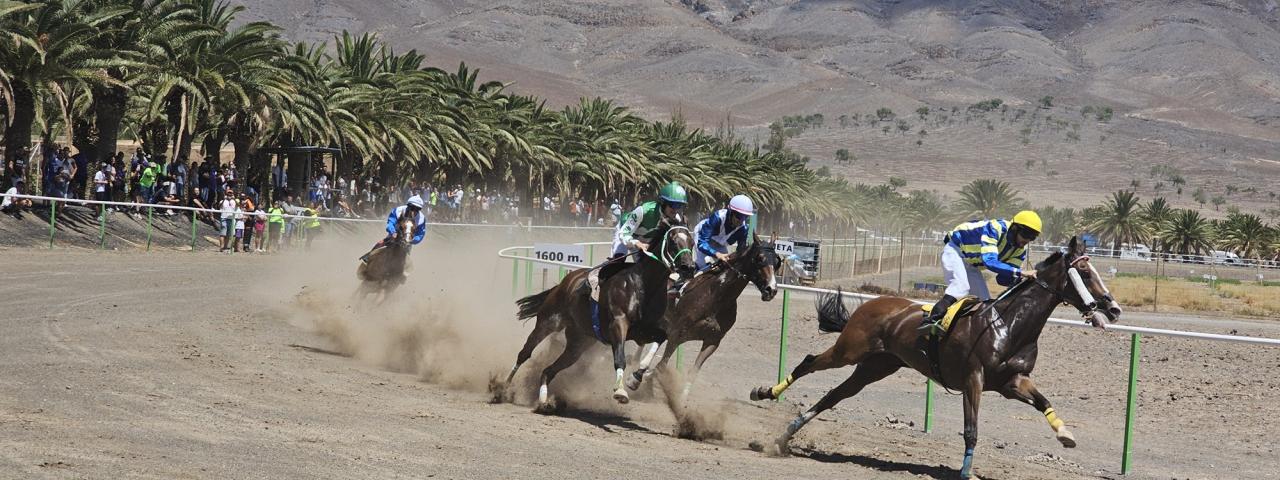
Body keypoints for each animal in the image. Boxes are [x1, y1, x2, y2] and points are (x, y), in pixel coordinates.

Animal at [503, 219, 698, 411]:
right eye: (673, 241)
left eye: (692, 242)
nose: (688, 267)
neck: (642, 286)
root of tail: (564, 283)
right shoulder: (618, 324)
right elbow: (620, 358)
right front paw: (620, 391)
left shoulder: (642, 332)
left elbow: (661, 338)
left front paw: (634, 379)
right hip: (548, 322)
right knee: (525, 353)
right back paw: (504, 387)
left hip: (578, 343)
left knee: (548, 370)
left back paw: (544, 401)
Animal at [624, 236, 781, 402]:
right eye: (760, 258)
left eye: (777, 261)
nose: (771, 289)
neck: (717, 297)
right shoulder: (677, 333)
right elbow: (661, 366)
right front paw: (636, 378)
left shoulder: (712, 341)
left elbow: (691, 372)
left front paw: (681, 402)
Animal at [748, 236, 1122, 479]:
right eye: (1085, 274)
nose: (1114, 308)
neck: (1009, 325)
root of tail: (873, 303)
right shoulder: (974, 378)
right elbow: (971, 430)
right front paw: (966, 472)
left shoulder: (1012, 381)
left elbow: (1044, 400)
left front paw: (1065, 434)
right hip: (850, 350)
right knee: (810, 362)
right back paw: (765, 393)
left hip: (876, 366)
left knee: (833, 396)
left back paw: (785, 435)